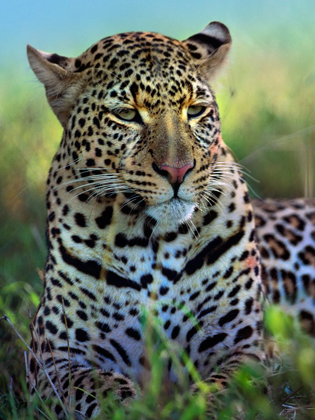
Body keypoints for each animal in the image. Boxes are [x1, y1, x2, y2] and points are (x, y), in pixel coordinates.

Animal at [27, 21, 315, 418]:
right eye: (127, 115)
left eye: (195, 110)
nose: (177, 171)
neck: (153, 239)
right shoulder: (53, 358)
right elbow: (103, 393)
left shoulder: (244, 347)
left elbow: (223, 394)